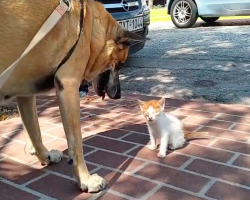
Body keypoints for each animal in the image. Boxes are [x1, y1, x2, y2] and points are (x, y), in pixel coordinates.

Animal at [0, 0, 145, 192]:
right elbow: (76, 142)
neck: (89, 25)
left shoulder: (25, 95)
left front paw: (45, 156)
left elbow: (34, 131)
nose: (120, 95)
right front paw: (85, 179)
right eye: (120, 65)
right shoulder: (68, 86)